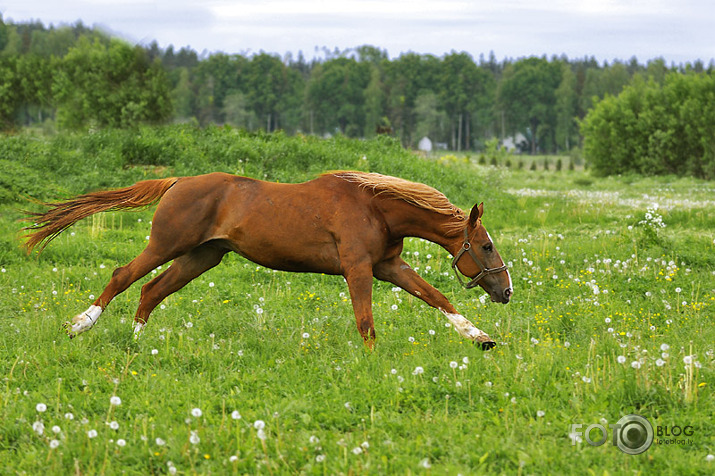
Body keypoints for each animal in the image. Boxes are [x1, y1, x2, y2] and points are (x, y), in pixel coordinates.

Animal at [22, 172, 512, 350]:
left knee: (151, 290)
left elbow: (438, 298)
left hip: (203, 257)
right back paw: (81, 325)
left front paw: (482, 338)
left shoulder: (389, 267)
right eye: (486, 245)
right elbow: (366, 321)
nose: (506, 291)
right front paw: (372, 362)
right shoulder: (358, 269)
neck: (376, 208)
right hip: (167, 245)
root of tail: (176, 181)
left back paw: (137, 342)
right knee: (124, 276)